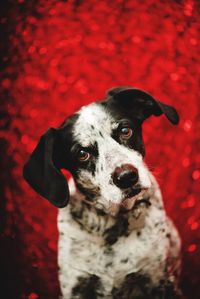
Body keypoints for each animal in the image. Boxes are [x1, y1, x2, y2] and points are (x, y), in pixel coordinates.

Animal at [23, 86, 181, 299]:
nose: (126, 176)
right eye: (82, 154)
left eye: (125, 130)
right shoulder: (75, 286)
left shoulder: (158, 279)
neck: (113, 226)